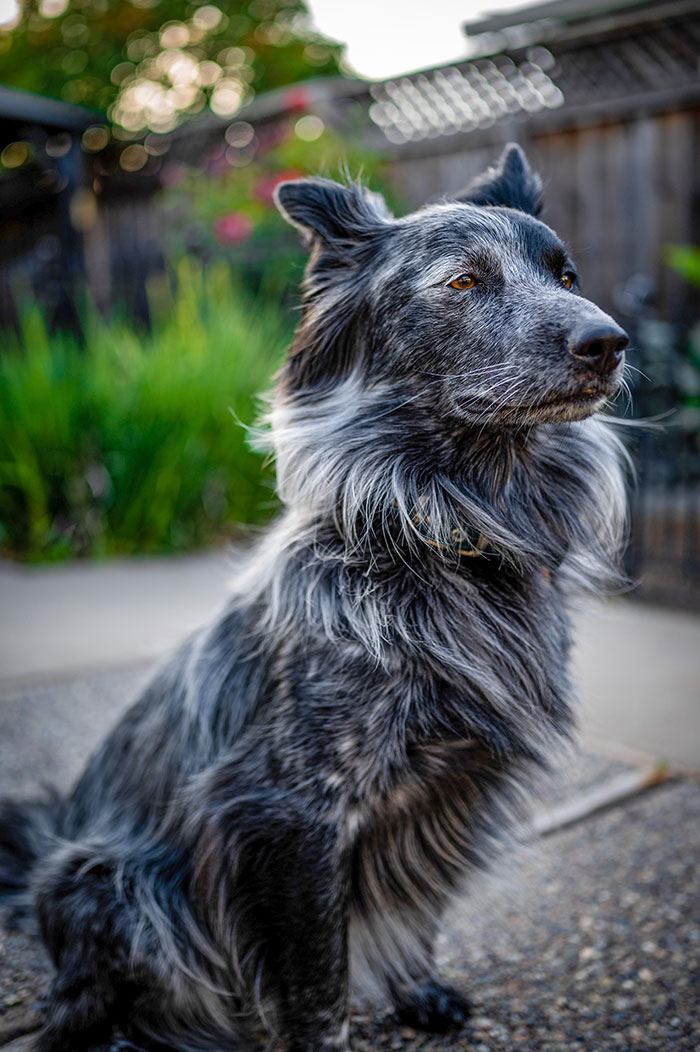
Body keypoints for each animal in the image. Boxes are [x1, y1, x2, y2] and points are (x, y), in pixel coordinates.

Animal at [0, 146, 627, 1052]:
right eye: (463, 282)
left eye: (566, 273)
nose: (608, 342)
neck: (444, 535)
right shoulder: (292, 815)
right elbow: (317, 984)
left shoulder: (443, 796)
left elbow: (413, 915)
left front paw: (416, 989)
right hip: (113, 885)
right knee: (78, 1005)